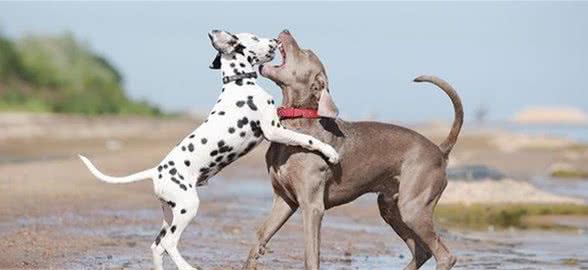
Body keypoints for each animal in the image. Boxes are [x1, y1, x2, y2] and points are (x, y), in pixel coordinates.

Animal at [81, 30, 340, 270]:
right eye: (255, 37)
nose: (276, 40)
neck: (238, 82)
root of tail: (156, 171)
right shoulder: (272, 129)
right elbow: (306, 139)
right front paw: (330, 151)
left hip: (170, 212)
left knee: (157, 245)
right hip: (187, 207)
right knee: (169, 243)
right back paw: (187, 267)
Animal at [243, 30, 464, 270]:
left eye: (305, 52)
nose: (285, 30)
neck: (296, 122)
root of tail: (440, 150)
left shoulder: (312, 206)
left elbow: (311, 256)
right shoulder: (285, 200)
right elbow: (259, 237)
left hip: (413, 207)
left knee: (444, 255)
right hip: (390, 206)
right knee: (422, 251)